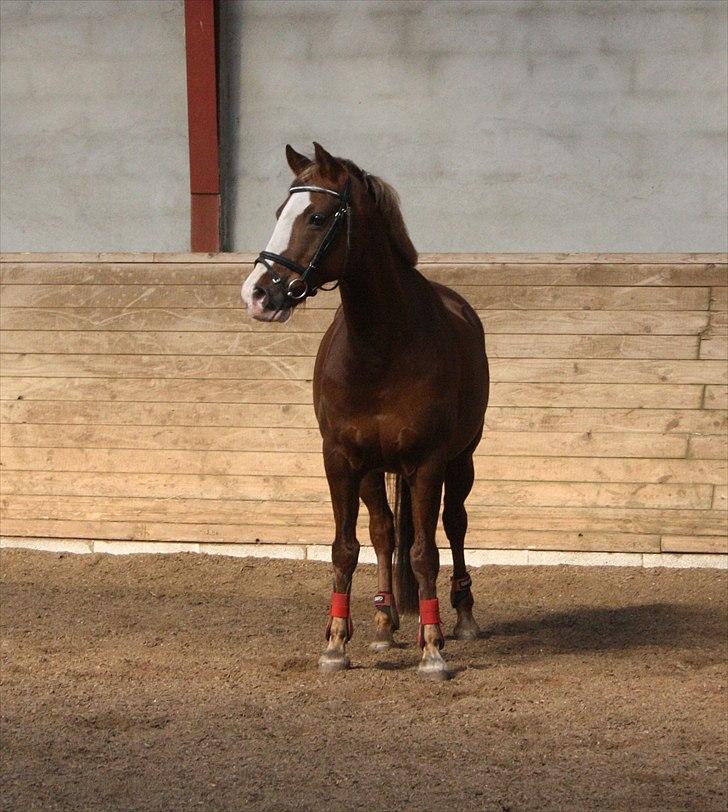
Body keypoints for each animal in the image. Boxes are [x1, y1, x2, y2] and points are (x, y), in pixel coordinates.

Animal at [243, 144, 490, 680]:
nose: (257, 294)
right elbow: (346, 548)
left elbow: (424, 553)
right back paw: (383, 622)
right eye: (279, 212)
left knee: (455, 524)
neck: (381, 348)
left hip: (461, 461)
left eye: (317, 216)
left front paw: (433, 649)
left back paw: (462, 617)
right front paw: (336, 643)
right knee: (382, 531)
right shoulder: (340, 460)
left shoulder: (427, 464)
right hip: (375, 471)